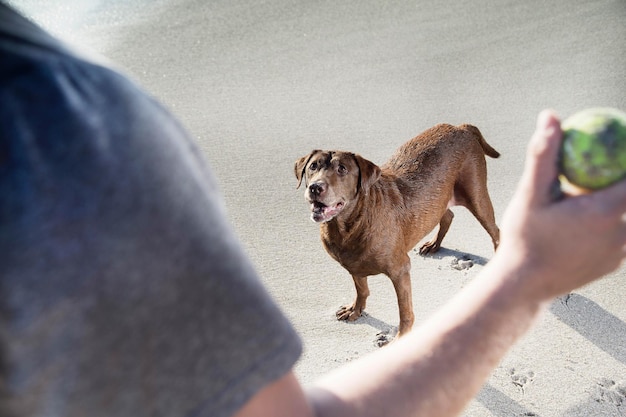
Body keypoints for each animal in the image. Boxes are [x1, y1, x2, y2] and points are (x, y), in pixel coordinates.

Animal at [292, 122, 498, 340]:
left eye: (342, 169)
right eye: (313, 166)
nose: (315, 187)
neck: (350, 226)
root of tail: (461, 127)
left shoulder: (400, 270)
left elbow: (404, 311)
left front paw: (400, 338)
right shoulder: (353, 264)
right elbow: (362, 289)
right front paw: (355, 310)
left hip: (476, 196)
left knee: (495, 231)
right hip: (438, 199)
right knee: (447, 215)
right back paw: (433, 245)